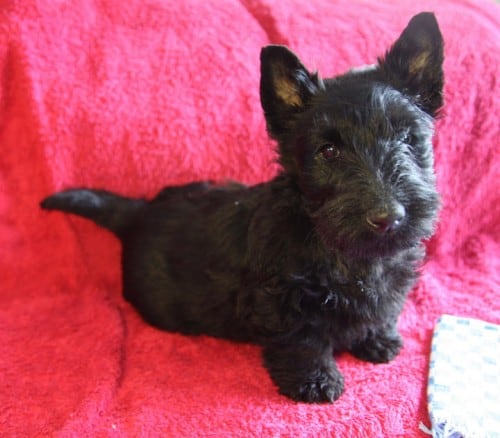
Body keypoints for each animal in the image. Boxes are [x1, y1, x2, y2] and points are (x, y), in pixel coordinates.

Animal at [41, 12, 443, 403]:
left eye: (407, 138)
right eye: (329, 151)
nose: (388, 218)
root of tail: (139, 211)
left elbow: (383, 309)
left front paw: (377, 339)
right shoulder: (282, 300)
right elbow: (303, 340)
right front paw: (314, 381)